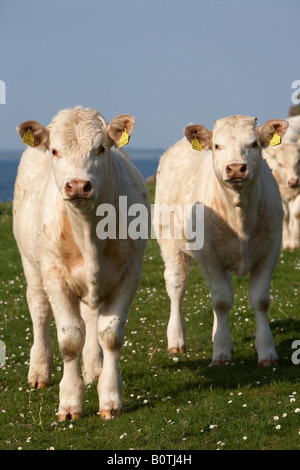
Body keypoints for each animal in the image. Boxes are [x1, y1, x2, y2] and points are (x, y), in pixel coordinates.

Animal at [14, 107, 150, 422]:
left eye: (101, 148)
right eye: (54, 150)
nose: (77, 185)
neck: (89, 233)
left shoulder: (130, 273)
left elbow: (110, 334)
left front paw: (109, 397)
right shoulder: (54, 275)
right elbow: (70, 338)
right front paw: (69, 401)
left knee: (91, 318)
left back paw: (94, 370)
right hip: (31, 265)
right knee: (39, 310)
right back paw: (39, 371)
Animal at [155, 115, 288, 366]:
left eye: (254, 144)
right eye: (217, 146)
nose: (236, 167)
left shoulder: (270, 251)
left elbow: (260, 300)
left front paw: (267, 351)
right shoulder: (208, 256)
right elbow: (221, 300)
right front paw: (221, 352)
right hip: (168, 241)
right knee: (177, 287)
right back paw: (176, 340)